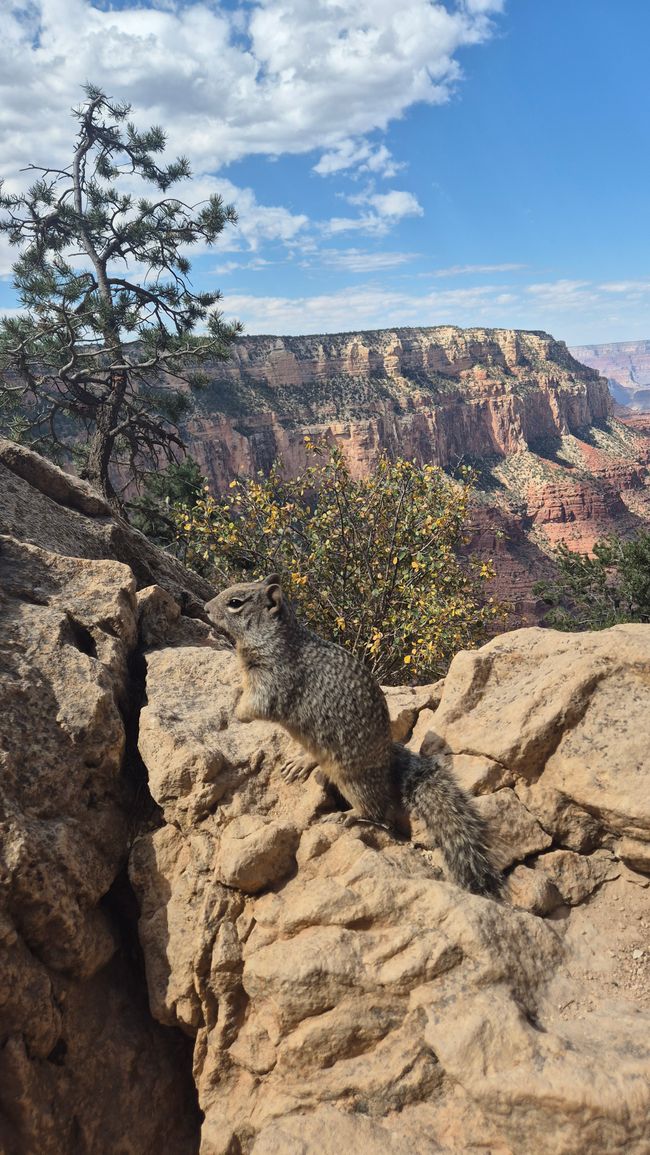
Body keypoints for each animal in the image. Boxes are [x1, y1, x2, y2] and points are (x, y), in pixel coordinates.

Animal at [205, 572, 501, 896]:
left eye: (235, 602)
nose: (205, 608)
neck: (280, 638)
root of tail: (388, 759)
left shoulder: (275, 681)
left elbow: (255, 706)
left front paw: (234, 707)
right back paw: (302, 762)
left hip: (353, 779)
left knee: (378, 811)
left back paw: (346, 815)